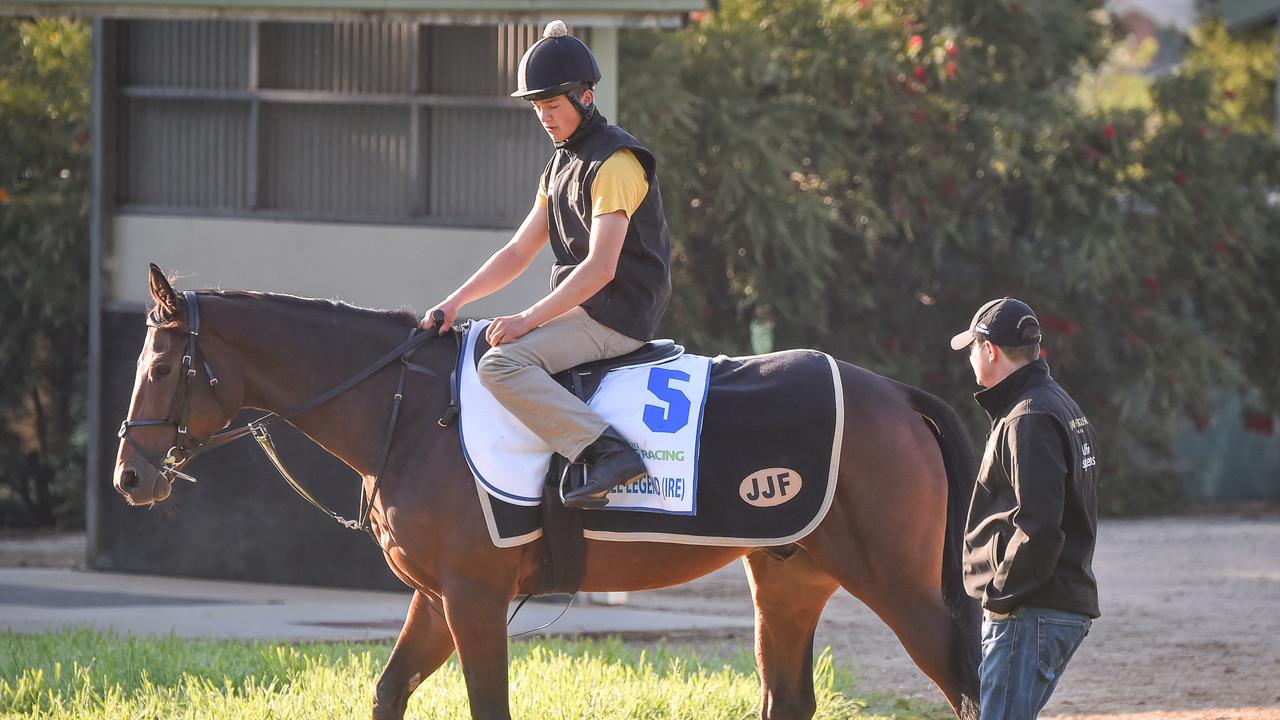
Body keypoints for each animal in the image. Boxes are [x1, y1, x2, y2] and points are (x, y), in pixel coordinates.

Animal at [115, 263, 983, 717]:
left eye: (161, 366)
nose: (129, 477)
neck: (412, 410)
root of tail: (894, 394)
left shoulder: (473, 597)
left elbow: (486, 705)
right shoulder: (437, 596)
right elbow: (389, 689)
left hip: (898, 585)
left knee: (967, 682)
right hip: (791, 579)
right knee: (790, 696)